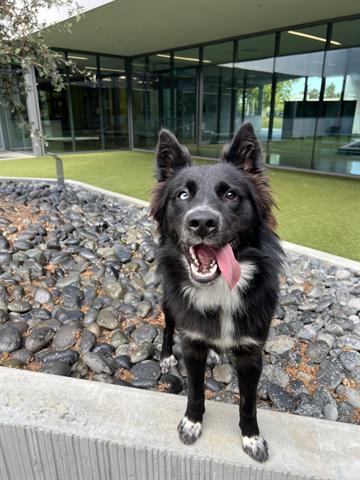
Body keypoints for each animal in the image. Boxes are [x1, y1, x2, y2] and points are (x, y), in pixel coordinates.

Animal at [149, 123, 284, 462]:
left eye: (231, 194)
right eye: (183, 194)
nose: (201, 222)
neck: (220, 289)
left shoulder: (251, 352)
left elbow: (248, 403)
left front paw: (252, 437)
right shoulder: (191, 344)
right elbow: (196, 391)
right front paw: (191, 423)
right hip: (169, 302)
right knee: (168, 328)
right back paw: (167, 356)